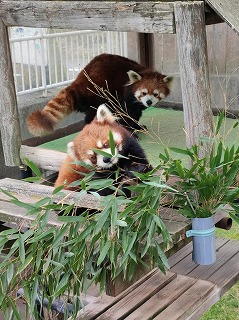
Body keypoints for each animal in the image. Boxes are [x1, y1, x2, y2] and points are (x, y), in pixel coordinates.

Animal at [27, 53, 172, 136]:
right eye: (144, 93)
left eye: (156, 94)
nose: (148, 102)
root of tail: (78, 82)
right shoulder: (124, 97)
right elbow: (127, 114)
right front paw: (131, 131)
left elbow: (135, 114)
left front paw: (138, 127)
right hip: (96, 94)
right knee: (93, 114)